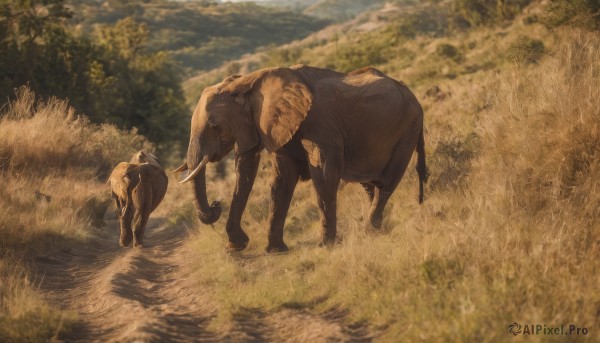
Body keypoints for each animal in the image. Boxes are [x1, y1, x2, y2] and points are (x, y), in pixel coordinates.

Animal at [177, 65, 426, 253]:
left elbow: (323, 175)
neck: (249, 81)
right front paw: (270, 250)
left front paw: (325, 246)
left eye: (215, 126)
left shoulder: (320, 126)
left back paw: (369, 230)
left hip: (408, 129)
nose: (216, 205)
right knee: (369, 185)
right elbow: (279, 181)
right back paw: (377, 228)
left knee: (387, 184)